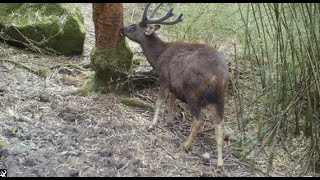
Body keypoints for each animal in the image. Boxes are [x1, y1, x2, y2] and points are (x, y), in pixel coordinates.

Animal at [120, 2, 228, 172]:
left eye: (132, 27)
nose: (121, 28)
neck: (158, 56)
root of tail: (219, 76)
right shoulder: (175, 84)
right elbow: (172, 100)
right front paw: (169, 121)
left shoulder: (164, 77)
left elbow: (159, 102)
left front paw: (152, 125)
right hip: (220, 98)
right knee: (218, 126)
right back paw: (219, 164)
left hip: (193, 92)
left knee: (200, 119)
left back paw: (186, 145)